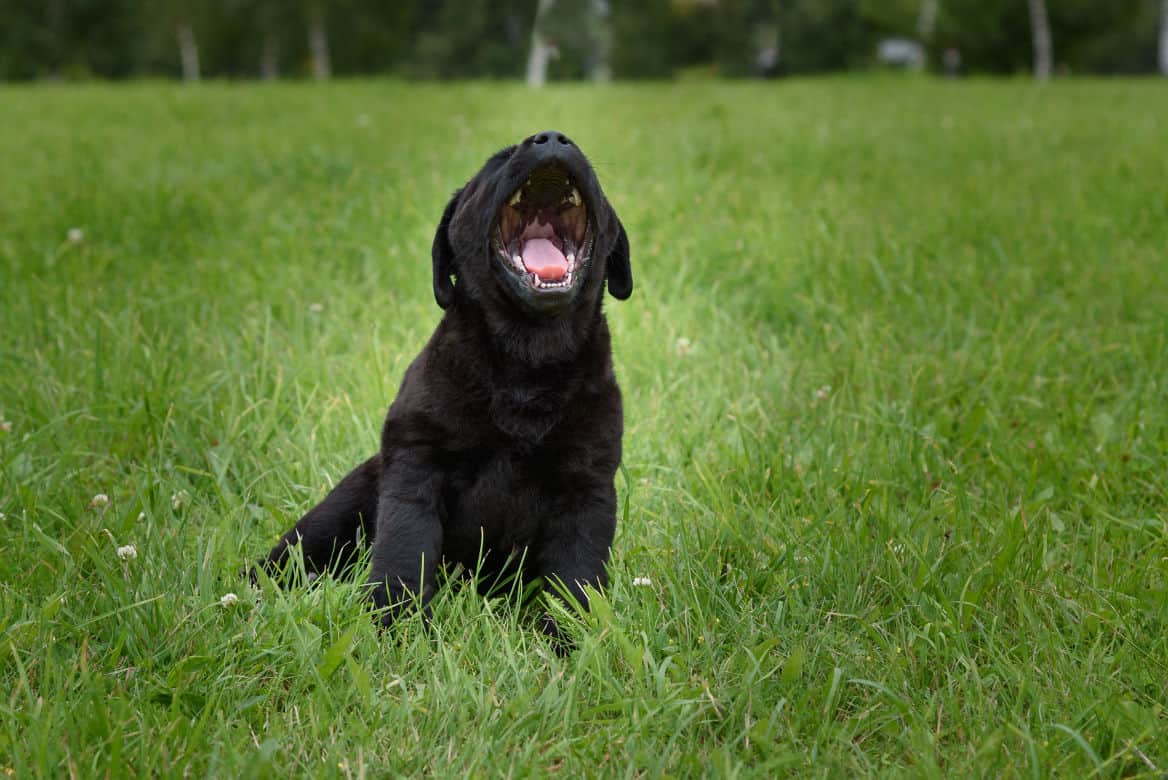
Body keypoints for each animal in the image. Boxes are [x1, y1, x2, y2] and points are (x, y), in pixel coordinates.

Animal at [261, 130, 635, 644]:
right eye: (497, 162)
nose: (553, 139)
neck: (527, 359)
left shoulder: (586, 488)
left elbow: (574, 579)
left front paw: (566, 642)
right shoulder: (416, 467)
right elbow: (404, 552)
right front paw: (396, 627)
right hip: (336, 511)